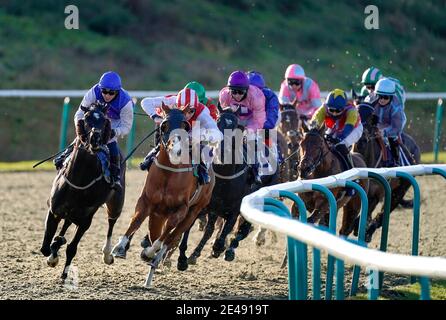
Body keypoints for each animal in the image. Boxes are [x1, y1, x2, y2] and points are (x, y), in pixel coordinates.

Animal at [40, 103, 124, 282]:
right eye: (86, 118)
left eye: (104, 120)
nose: (95, 139)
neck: (79, 181)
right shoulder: (54, 210)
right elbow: (45, 246)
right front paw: (53, 253)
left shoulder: (86, 219)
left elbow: (72, 248)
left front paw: (64, 274)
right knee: (66, 225)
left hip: (116, 204)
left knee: (111, 223)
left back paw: (107, 254)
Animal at [112, 104, 215, 286]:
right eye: (164, 125)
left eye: (185, 126)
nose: (176, 151)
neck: (169, 173)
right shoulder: (147, 201)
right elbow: (136, 220)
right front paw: (120, 246)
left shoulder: (181, 208)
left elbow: (167, 232)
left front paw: (151, 252)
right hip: (158, 215)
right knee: (156, 233)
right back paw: (148, 275)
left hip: (193, 212)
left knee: (172, 236)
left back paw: (156, 258)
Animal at [352, 104, 422, 241]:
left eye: (371, 120)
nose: (361, 139)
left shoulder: (377, 194)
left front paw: (363, 229)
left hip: (399, 190)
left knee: (383, 214)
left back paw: (369, 231)